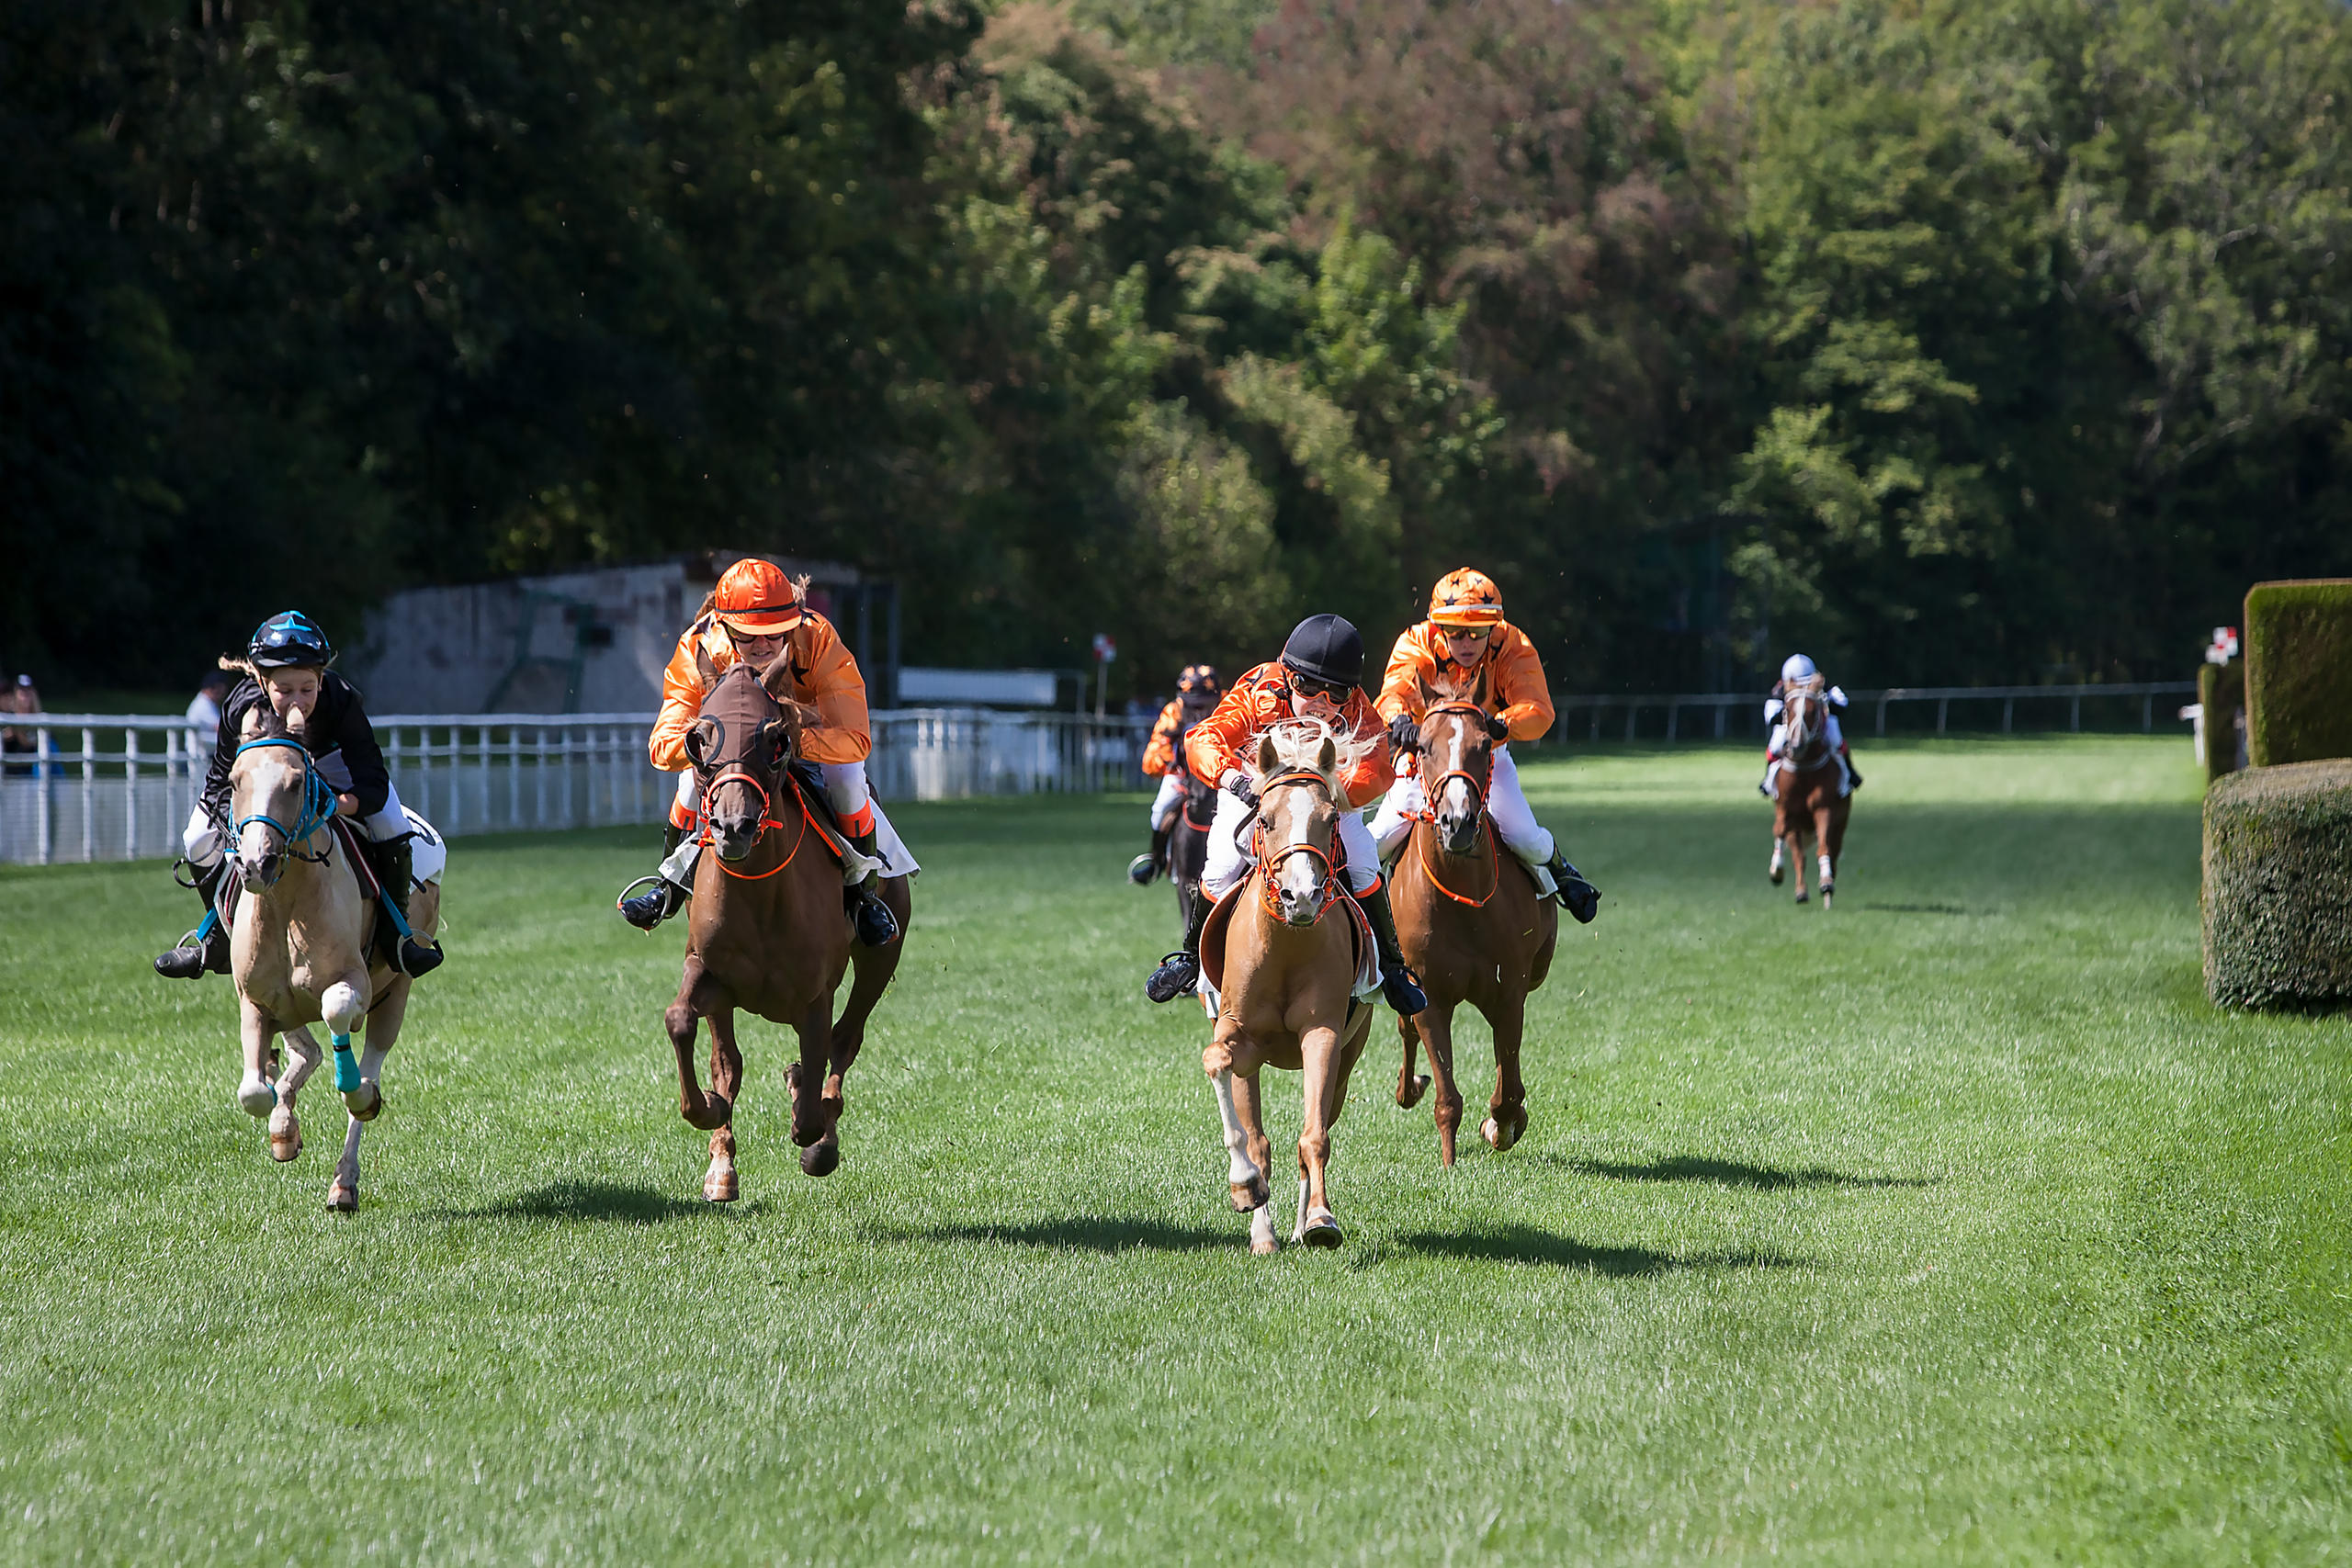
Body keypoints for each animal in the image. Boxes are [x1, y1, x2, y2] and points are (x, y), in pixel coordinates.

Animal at [673, 649, 917, 1203]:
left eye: (775, 738)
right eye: (699, 738)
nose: (734, 827)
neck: (761, 895)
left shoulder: (814, 994)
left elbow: (810, 1104)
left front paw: (814, 1125)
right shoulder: (709, 971)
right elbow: (687, 1028)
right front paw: (711, 1114)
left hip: (878, 957)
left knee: (846, 1039)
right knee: (730, 1059)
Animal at [1194, 719, 1374, 1250]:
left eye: (1330, 818)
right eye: (1267, 819)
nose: (1301, 896)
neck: (1287, 946)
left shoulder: (1325, 1034)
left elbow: (1314, 1136)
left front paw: (1319, 1218)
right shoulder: (1237, 1034)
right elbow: (1220, 1071)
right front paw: (1245, 1187)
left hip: (1350, 1053)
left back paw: (1298, 1224)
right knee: (1258, 1135)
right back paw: (1265, 1230)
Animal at [1383, 700, 1552, 1166]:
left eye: (1483, 745)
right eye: (1423, 747)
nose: (1456, 822)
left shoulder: (1509, 990)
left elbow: (1508, 1089)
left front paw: (1502, 1125)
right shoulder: (1429, 993)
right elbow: (1447, 1093)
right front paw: (1448, 1162)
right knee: (1405, 1029)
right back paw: (1409, 1086)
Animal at [1769, 677, 1853, 907]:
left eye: (1812, 711)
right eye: (1787, 709)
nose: (1796, 746)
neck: (1804, 768)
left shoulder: (1824, 809)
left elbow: (1823, 847)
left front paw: (1826, 883)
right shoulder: (1786, 810)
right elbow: (1779, 831)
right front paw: (1776, 871)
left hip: (1840, 824)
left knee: (1832, 851)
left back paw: (1827, 893)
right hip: (1798, 828)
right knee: (1799, 856)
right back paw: (1801, 891)